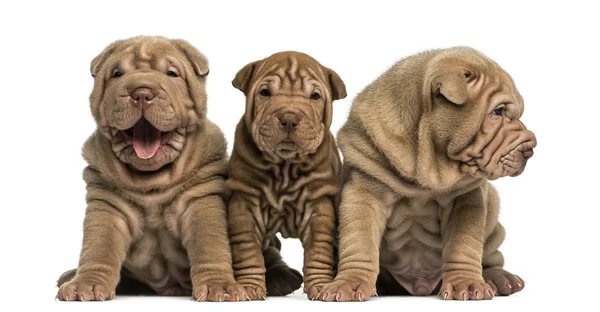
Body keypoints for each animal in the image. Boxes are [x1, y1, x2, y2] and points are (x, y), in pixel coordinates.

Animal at [54, 36, 246, 302]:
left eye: (171, 73)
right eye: (117, 74)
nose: (142, 92)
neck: (152, 180)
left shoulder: (200, 200)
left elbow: (210, 245)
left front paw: (220, 287)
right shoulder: (108, 205)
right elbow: (98, 247)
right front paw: (86, 284)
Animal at [225, 51, 346, 300]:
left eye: (315, 96)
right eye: (265, 93)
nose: (289, 118)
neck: (285, 167)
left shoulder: (318, 205)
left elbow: (318, 250)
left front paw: (321, 286)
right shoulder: (245, 204)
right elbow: (248, 250)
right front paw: (249, 287)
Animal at [322, 45, 536, 300]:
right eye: (498, 111)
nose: (531, 148)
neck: (427, 162)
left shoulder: (467, 200)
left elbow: (463, 244)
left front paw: (466, 284)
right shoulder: (365, 192)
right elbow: (359, 241)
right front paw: (350, 283)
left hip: (493, 213)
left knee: (492, 255)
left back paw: (500, 279)